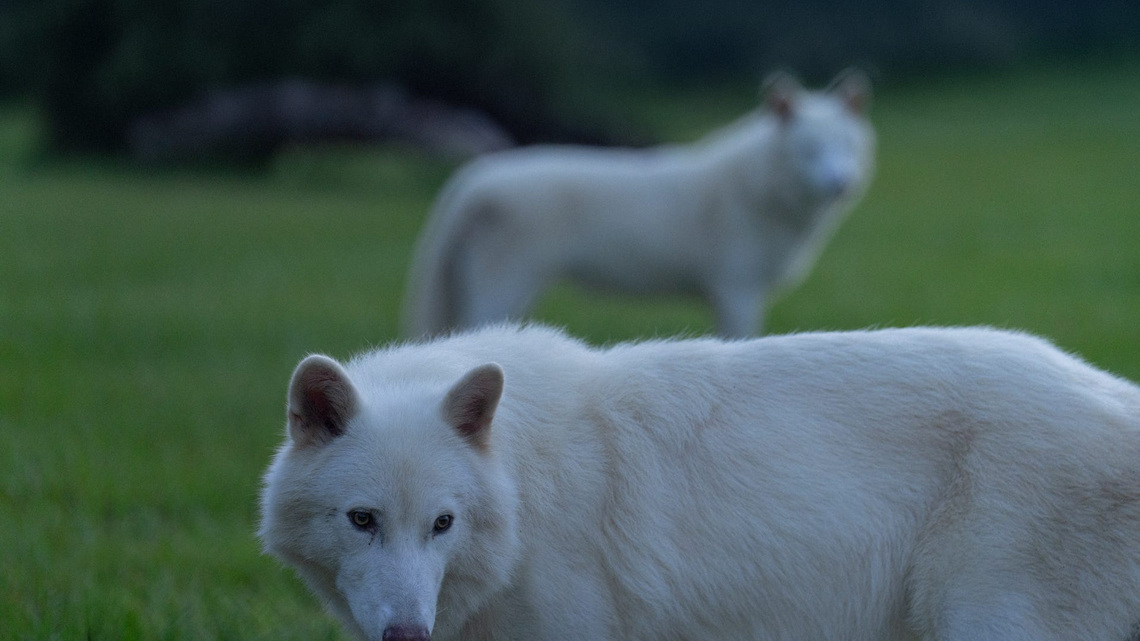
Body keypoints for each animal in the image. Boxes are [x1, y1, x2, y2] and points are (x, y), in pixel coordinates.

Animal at [401, 70, 875, 339]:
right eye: (810, 151)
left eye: (845, 146)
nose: (841, 185)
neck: (756, 186)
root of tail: (469, 181)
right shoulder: (737, 292)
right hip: (501, 289)